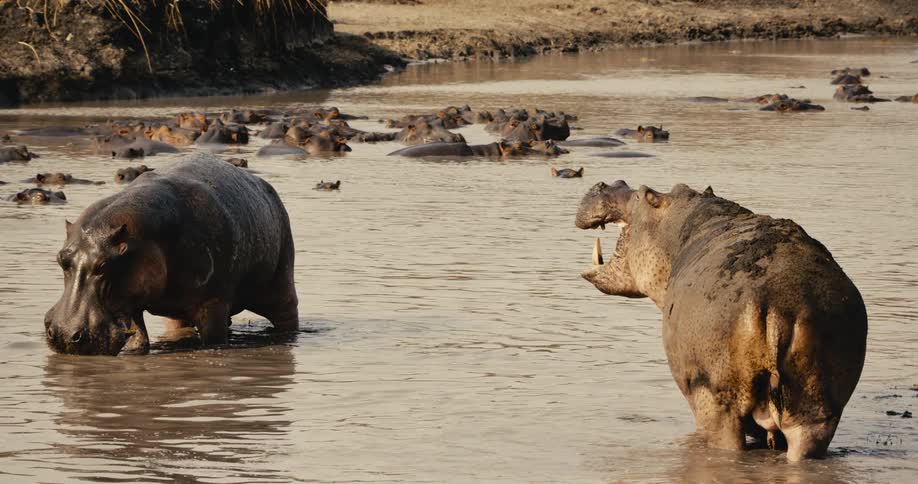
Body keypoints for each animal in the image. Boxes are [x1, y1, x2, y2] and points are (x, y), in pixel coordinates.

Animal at [45, 154, 298, 355]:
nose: (63, 334)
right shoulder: (130, 298)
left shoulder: (213, 303)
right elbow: (138, 336)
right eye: (60, 259)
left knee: (287, 314)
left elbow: (213, 340)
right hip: (176, 313)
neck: (143, 236)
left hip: (281, 285)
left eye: (104, 265)